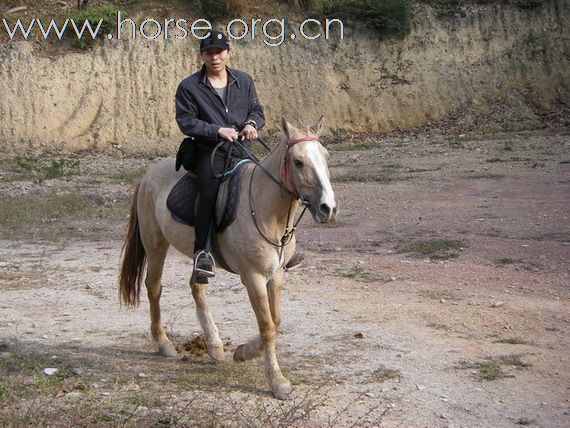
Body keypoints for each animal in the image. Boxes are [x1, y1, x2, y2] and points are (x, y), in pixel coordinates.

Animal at [117, 116, 336, 398]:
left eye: (325, 156)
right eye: (298, 161)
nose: (328, 208)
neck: (264, 210)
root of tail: (147, 176)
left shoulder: (275, 274)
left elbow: (275, 321)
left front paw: (242, 353)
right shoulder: (253, 277)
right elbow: (267, 326)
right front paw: (277, 380)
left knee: (196, 287)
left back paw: (214, 345)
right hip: (156, 245)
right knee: (154, 287)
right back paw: (163, 343)